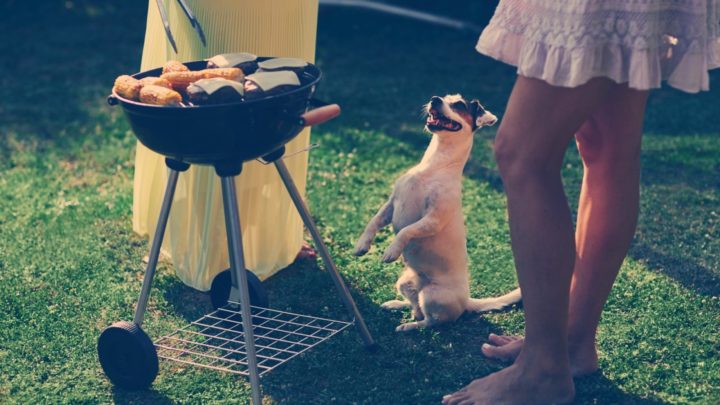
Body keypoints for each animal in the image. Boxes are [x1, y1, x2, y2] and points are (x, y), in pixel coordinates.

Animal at [352, 94, 516, 332]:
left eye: (459, 105)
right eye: (446, 97)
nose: (434, 99)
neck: (433, 166)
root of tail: (466, 301)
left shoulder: (433, 219)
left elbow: (406, 231)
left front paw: (391, 250)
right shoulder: (391, 204)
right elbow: (373, 222)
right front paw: (361, 245)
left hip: (432, 295)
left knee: (431, 321)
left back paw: (409, 327)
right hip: (404, 283)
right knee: (415, 307)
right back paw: (396, 305)